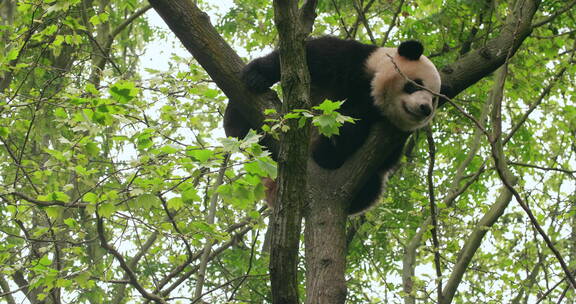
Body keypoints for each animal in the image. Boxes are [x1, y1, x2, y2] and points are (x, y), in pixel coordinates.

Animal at [228, 35, 440, 215]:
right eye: (415, 84)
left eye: (434, 99)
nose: (425, 109)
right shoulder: (351, 60)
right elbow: (304, 58)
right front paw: (257, 76)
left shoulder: (389, 133)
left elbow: (377, 151)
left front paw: (345, 133)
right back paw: (237, 119)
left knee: (370, 188)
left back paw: (326, 152)